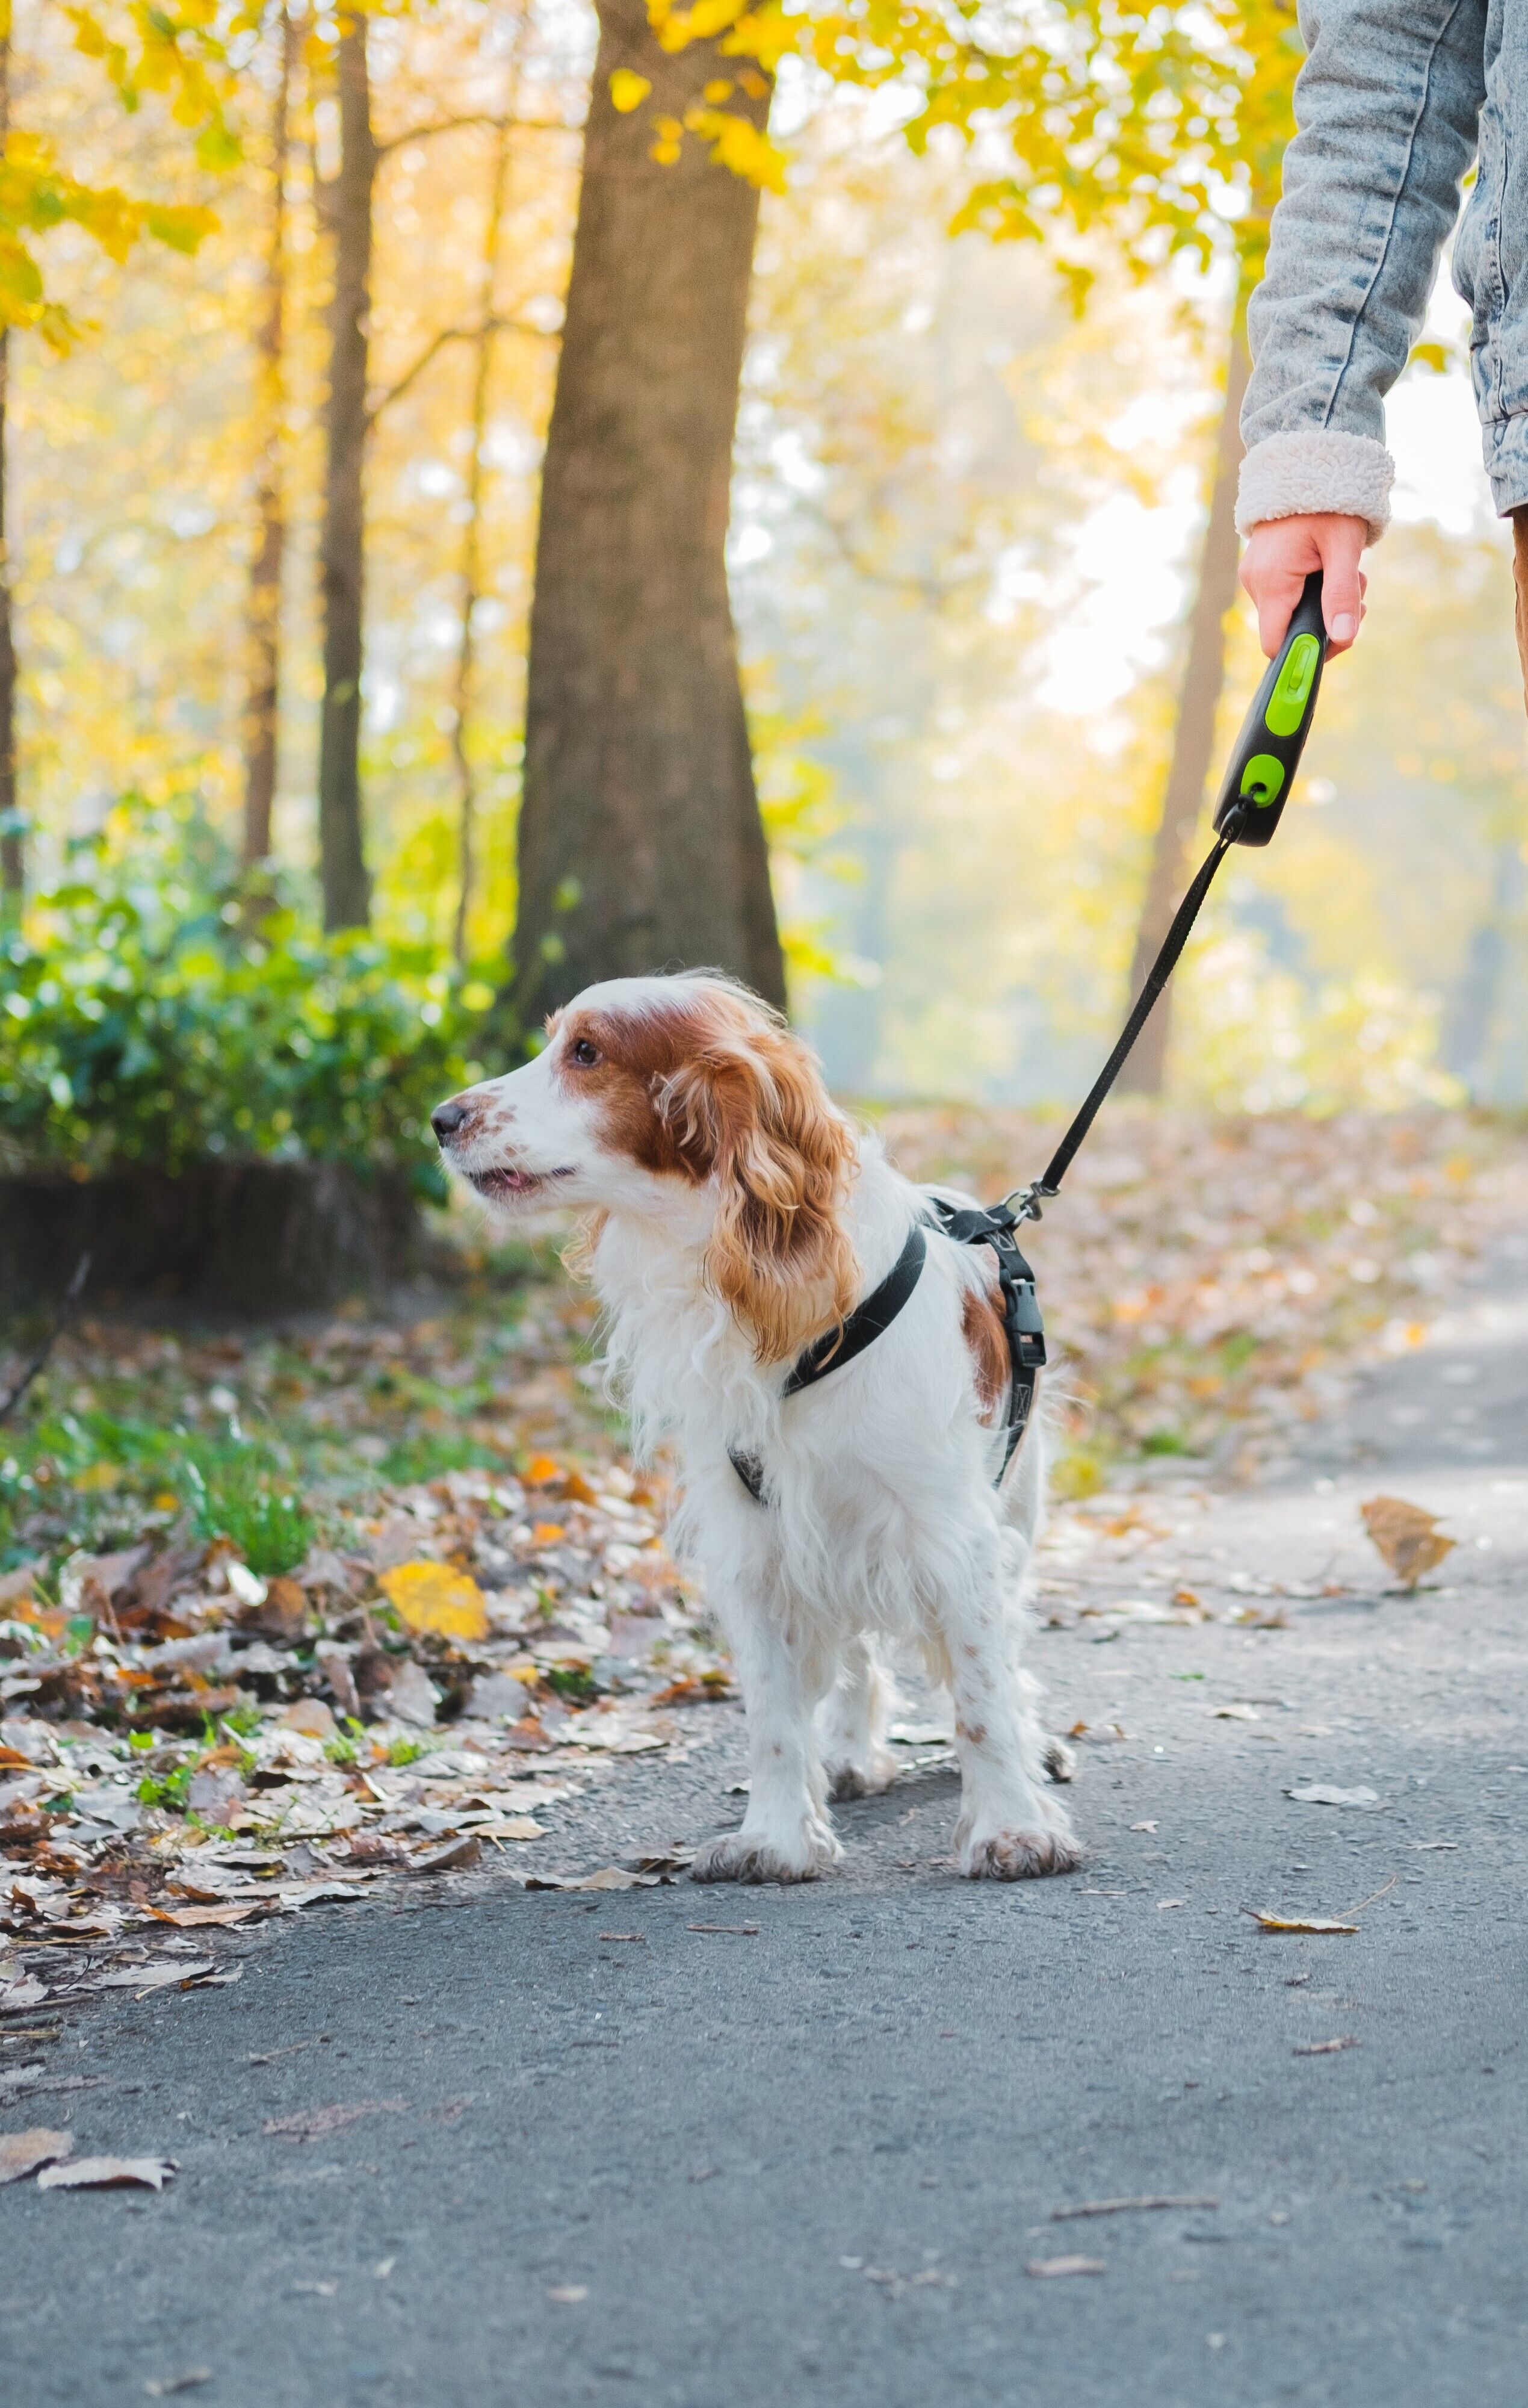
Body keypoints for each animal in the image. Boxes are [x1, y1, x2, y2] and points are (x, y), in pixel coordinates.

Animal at [430, 973, 1078, 1878]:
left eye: (586, 1052)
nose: (441, 1117)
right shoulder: (757, 1538)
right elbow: (772, 1716)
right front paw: (776, 1836)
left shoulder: (949, 1530)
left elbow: (982, 1690)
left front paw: (1011, 1827)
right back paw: (847, 1753)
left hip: (1014, 1505)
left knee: (1005, 1645)